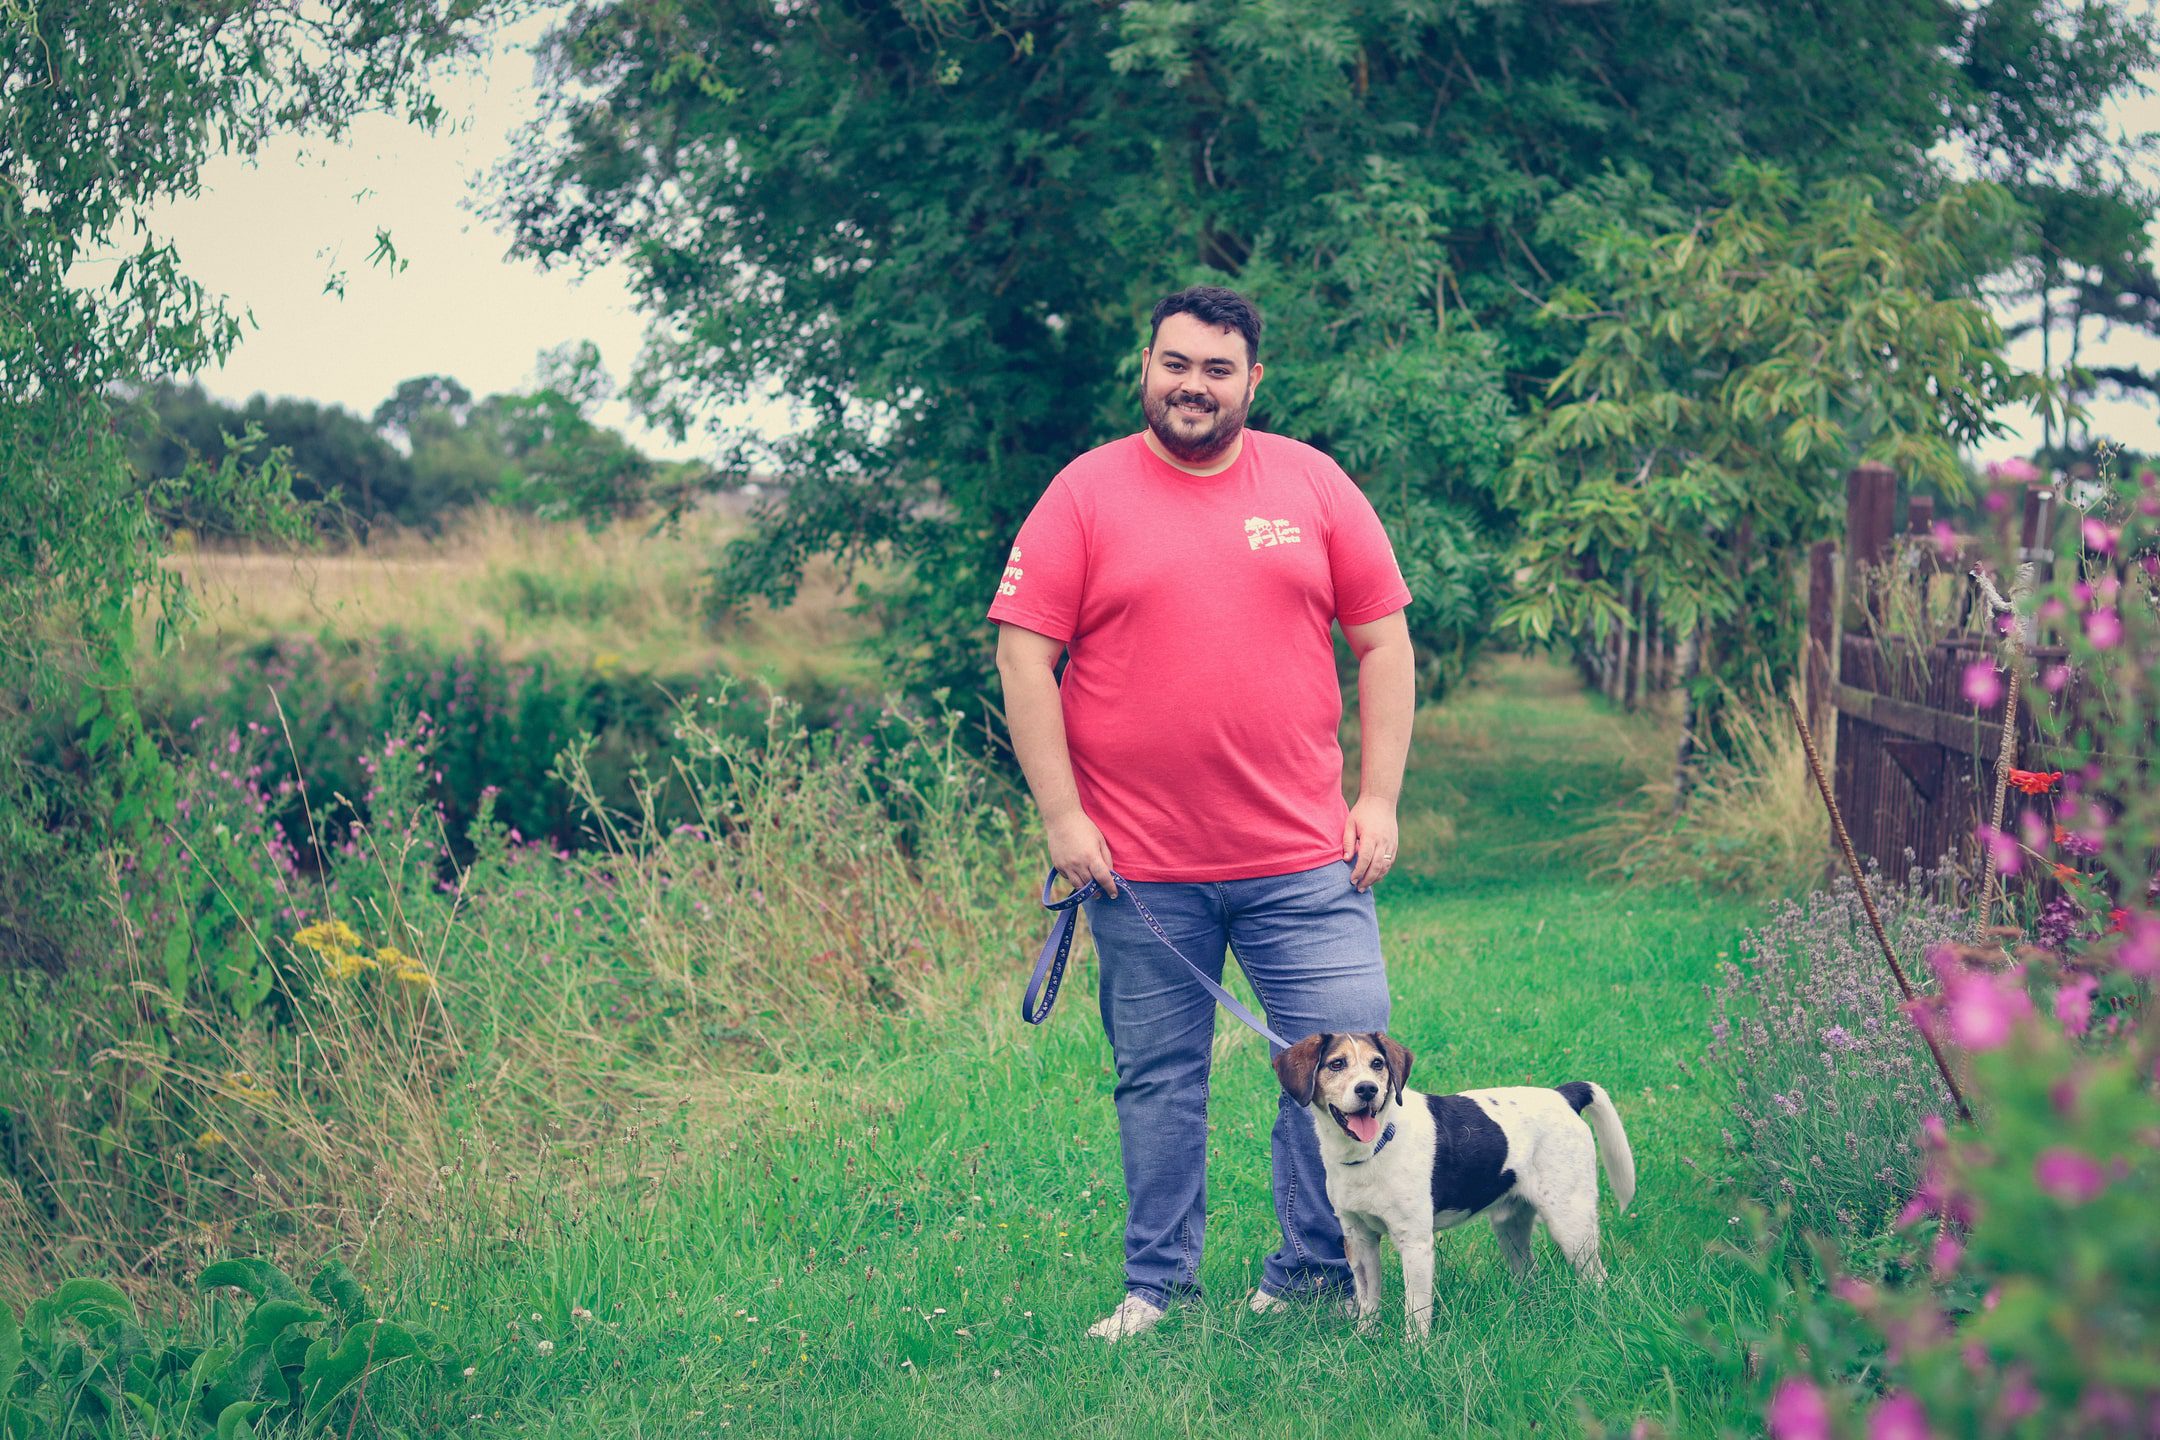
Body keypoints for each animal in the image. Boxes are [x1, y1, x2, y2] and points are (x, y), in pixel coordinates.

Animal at [1261, 1031, 1632, 1338]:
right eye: (1337, 1064)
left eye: (1377, 1063)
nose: (1367, 1089)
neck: (1374, 1147)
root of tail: (1563, 1096)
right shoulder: (1359, 1238)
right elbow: (1369, 1301)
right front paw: (1365, 1340)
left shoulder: (1415, 1243)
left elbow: (1416, 1312)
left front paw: (1414, 1357)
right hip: (1510, 1226)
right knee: (1529, 1272)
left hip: (1571, 1223)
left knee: (1598, 1279)